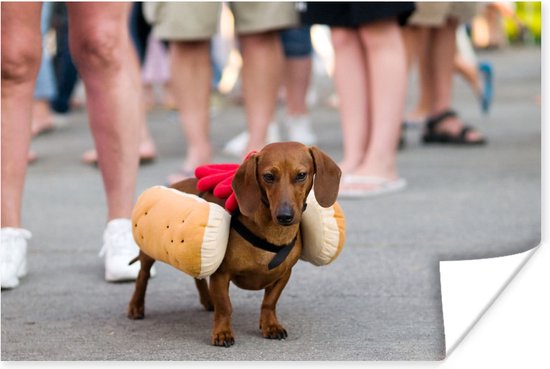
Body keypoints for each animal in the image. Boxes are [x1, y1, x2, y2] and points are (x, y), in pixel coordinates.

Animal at [129, 141, 342, 344]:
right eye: (268, 176)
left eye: (301, 175)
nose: (285, 216)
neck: (272, 233)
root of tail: (176, 184)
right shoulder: (221, 275)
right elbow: (225, 307)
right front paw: (222, 333)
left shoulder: (284, 274)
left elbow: (269, 302)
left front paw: (270, 325)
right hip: (150, 253)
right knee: (143, 275)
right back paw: (136, 306)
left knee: (198, 277)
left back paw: (208, 300)